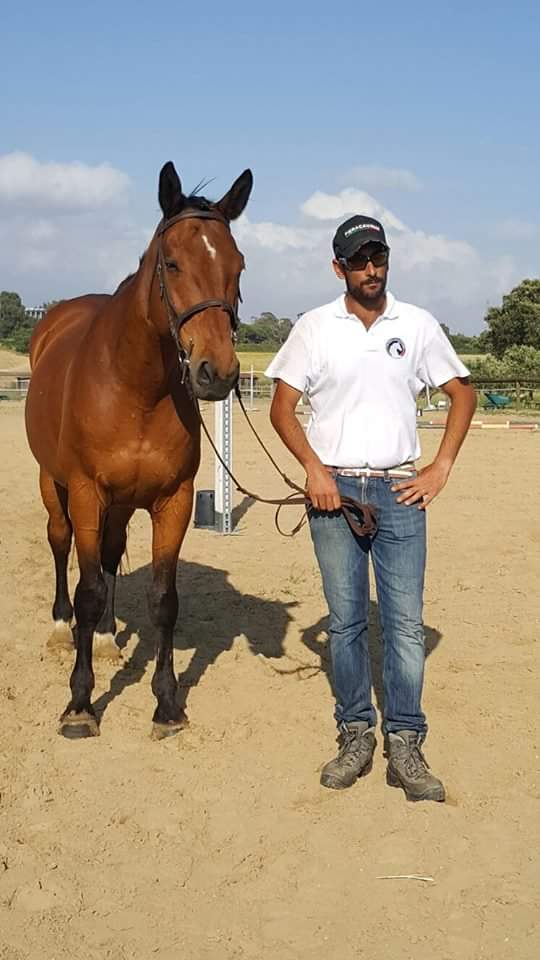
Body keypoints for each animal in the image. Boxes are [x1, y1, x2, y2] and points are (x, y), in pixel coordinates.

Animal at [25, 160, 253, 740]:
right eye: (172, 263)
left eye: (238, 266)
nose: (217, 373)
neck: (135, 388)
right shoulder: (86, 493)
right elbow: (86, 590)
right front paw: (80, 704)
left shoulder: (172, 501)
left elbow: (162, 600)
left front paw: (167, 703)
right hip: (53, 484)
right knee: (62, 546)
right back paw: (61, 627)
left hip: (123, 503)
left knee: (107, 558)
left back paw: (107, 637)